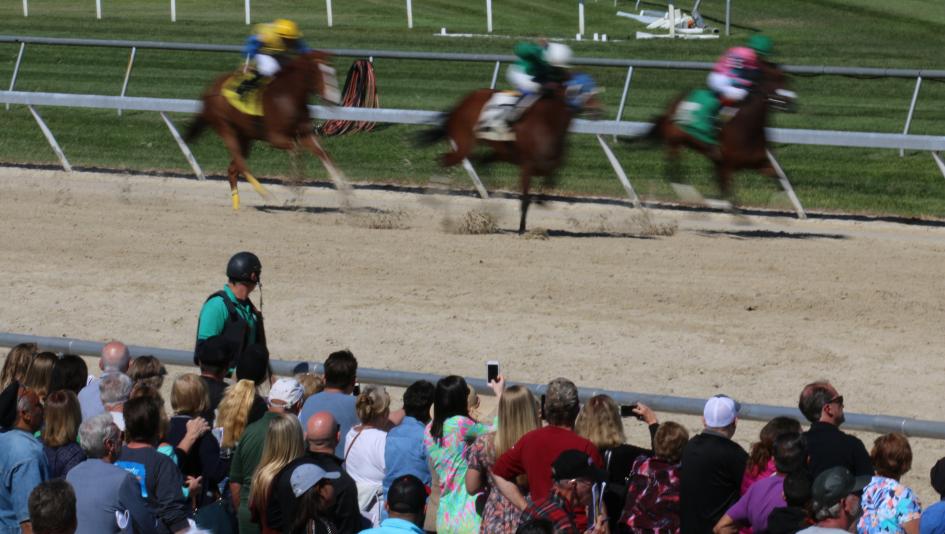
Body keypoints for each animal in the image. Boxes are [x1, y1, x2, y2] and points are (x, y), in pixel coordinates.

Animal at [185, 50, 346, 210]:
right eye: (315, 72)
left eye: (334, 72)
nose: (334, 100)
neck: (288, 97)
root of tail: (208, 90)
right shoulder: (275, 138)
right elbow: (296, 150)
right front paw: (294, 190)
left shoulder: (305, 134)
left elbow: (323, 153)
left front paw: (345, 193)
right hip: (226, 127)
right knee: (241, 164)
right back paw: (267, 195)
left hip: (245, 136)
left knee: (233, 169)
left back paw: (237, 205)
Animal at [417, 73, 601, 233]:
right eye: (580, 88)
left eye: (594, 86)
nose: (598, 109)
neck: (548, 123)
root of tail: (461, 103)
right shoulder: (527, 166)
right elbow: (525, 199)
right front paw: (521, 229)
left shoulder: (551, 165)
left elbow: (549, 183)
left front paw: (540, 203)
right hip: (464, 144)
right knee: (444, 160)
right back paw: (433, 197)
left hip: (499, 152)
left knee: (480, 161)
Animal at [646, 61, 797, 210]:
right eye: (775, 78)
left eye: (785, 78)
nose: (791, 103)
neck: (747, 130)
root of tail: (675, 102)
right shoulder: (726, 166)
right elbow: (730, 198)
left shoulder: (760, 163)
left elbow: (781, 178)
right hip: (675, 139)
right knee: (672, 167)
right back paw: (688, 192)